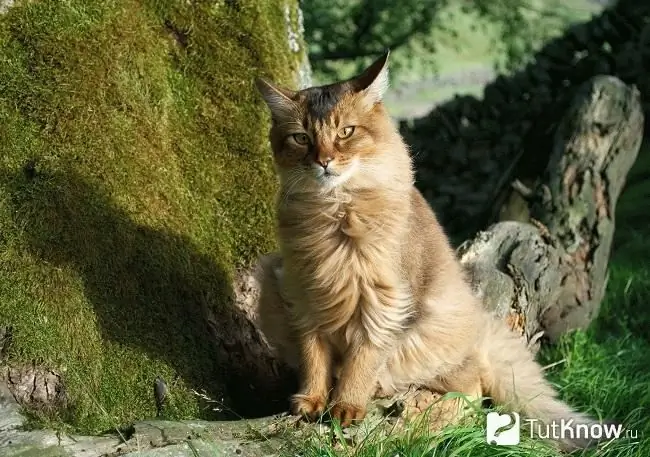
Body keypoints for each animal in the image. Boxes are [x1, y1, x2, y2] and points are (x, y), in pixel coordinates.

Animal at [252, 50, 596, 448]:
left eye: (345, 132)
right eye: (301, 138)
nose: (323, 161)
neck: (333, 212)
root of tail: (479, 325)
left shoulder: (383, 303)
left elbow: (362, 360)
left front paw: (347, 405)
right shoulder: (303, 297)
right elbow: (313, 359)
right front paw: (310, 399)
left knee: (471, 384)